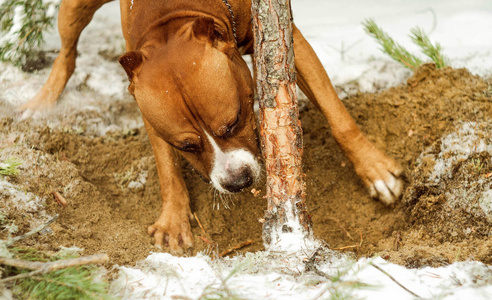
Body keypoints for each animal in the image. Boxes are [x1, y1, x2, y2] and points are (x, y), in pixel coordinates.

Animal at [20, 0, 404, 254]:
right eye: (187, 146)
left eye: (233, 121)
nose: (238, 182)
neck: (170, 19)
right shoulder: (146, 104)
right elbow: (165, 166)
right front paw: (174, 217)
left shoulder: (289, 45)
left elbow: (337, 114)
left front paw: (375, 170)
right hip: (74, 10)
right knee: (67, 53)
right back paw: (41, 102)